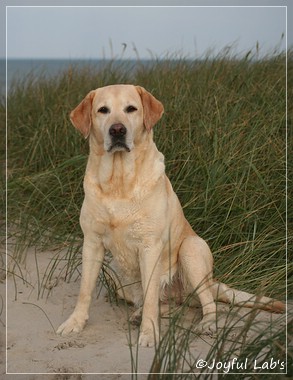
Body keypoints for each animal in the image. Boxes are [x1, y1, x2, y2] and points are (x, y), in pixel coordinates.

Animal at [56, 84, 282, 346]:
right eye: (103, 110)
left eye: (131, 109)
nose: (117, 130)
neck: (119, 182)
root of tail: (213, 281)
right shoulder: (91, 243)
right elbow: (85, 290)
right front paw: (75, 322)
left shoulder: (150, 246)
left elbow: (150, 297)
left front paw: (149, 334)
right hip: (115, 273)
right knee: (164, 304)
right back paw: (139, 314)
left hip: (191, 250)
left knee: (206, 303)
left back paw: (205, 323)